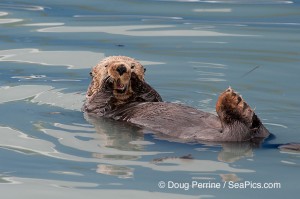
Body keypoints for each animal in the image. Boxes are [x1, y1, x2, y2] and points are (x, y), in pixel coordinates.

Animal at [82, 56, 270, 142]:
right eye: (106, 65)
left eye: (133, 65)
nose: (122, 67)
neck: (125, 99)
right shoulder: (93, 107)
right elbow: (98, 101)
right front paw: (109, 81)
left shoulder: (153, 98)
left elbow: (153, 95)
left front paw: (135, 79)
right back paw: (235, 103)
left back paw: (238, 104)